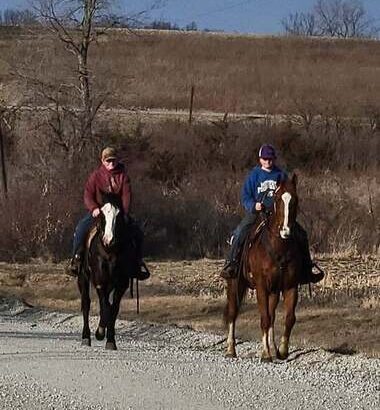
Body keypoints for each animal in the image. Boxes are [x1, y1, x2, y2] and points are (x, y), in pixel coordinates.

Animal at [77, 192, 137, 350]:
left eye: (119, 214)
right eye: (102, 214)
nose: (109, 240)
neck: (109, 251)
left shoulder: (121, 284)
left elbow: (113, 309)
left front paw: (110, 340)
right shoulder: (100, 282)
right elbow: (105, 306)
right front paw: (99, 333)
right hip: (83, 277)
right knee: (86, 303)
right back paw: (86, 337)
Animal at [226, 175, 302, 360]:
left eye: (295, 200)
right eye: (277, 199)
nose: (286, 230)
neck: (279, 248)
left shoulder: (291, 286)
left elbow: (289, 318)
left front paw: (282, 350)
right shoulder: (261, 286)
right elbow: (264, 318)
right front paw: (266, 354)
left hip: (274, 291)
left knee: (273, 315)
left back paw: (273, 347)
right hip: (235, 283)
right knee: (232, 312)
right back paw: (231, 349)